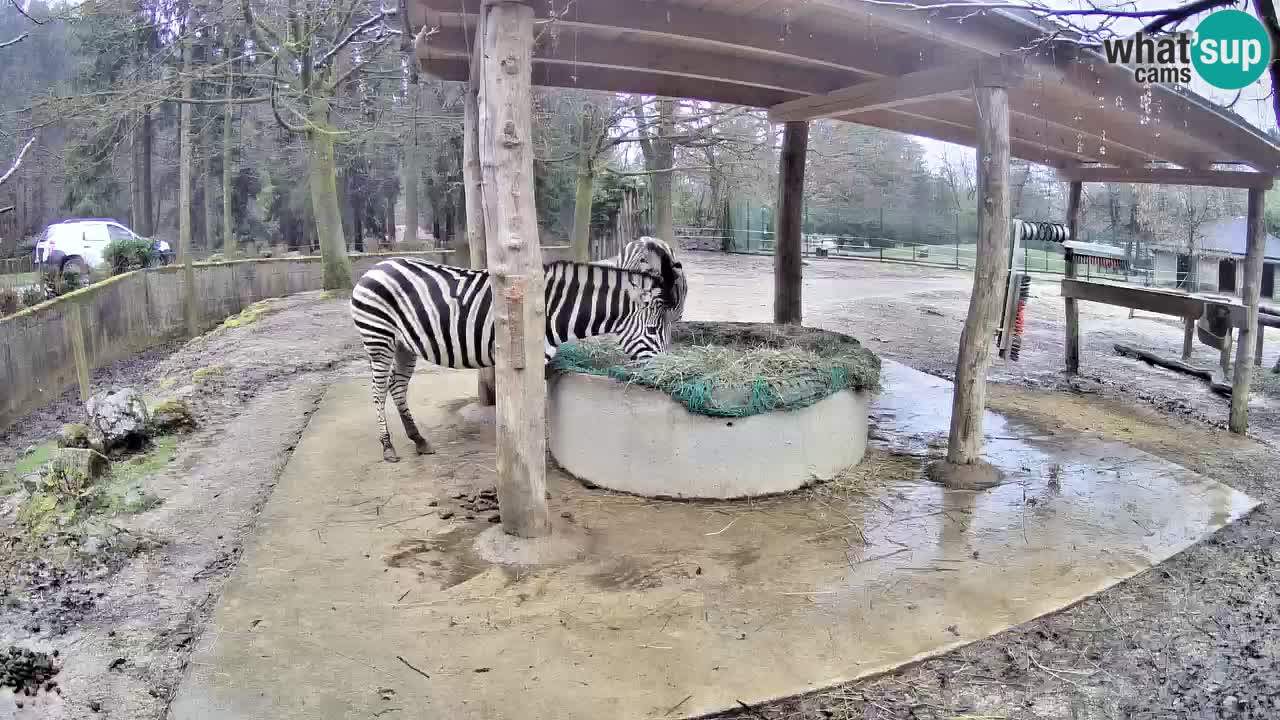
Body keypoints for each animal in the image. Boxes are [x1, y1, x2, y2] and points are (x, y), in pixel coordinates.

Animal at [345, 254, 686, 461]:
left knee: (397, 386)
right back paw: (388, 446)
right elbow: (531, 410)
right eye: (653, 329)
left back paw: (418, 439)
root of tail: (376, 267)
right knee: (378, 390)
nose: (663, 372)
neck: (551, 310)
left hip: (405, 344)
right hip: (378, 337)